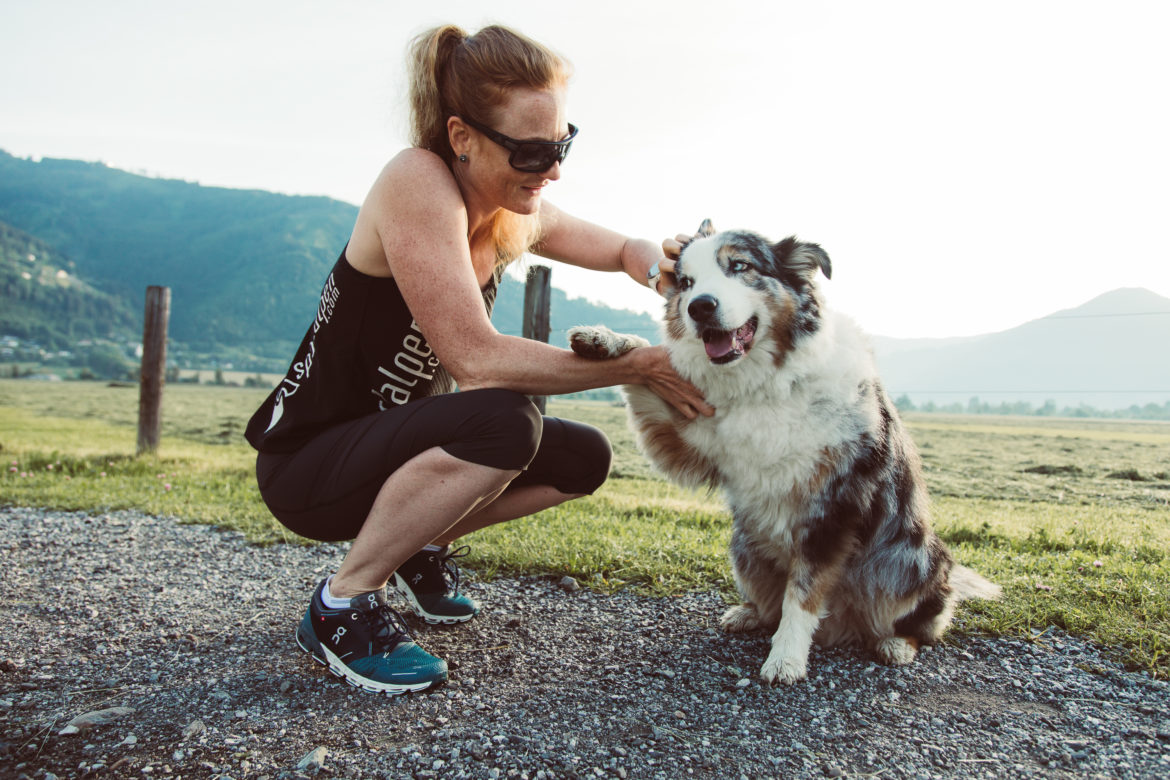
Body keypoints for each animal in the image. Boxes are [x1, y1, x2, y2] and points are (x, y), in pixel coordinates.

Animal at [570, 218, 1001, 682]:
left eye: (740, 266)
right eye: (686, 283)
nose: (699, 307)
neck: (767, 382)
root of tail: (843, 628)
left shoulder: (833, 507)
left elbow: (804, 595)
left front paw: (786, 659)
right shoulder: (688, 441)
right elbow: (644, 370)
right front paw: (603, 339)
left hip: (908, 562)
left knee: (926, 620)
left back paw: (896, 643)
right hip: (746, 548)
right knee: (770, 603)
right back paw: (749, 613)